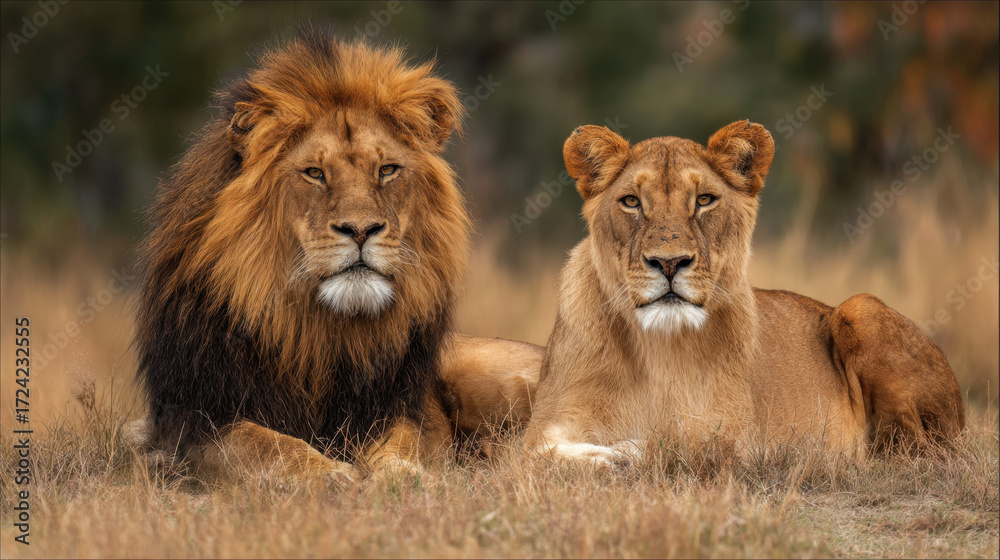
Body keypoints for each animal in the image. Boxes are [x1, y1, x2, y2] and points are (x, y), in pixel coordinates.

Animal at [134, 30, 540, 483]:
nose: (360, 230)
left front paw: (401, 475)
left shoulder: (398, 409)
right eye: (314, 173)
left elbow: (401, 443)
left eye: (387, 170)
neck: (321, 334)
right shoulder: (192, 423)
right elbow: (260, 443)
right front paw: (329, 474)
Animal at [522, 120, 966, 466]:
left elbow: (676, 441)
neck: (657, 350)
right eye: (631, 201)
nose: (669, 263)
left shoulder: (734, 432)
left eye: (704, 200)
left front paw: (628, 451)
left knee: (912, 452)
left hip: (861, 309)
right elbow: (537, 453)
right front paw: (603, 455)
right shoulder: (548, 421)